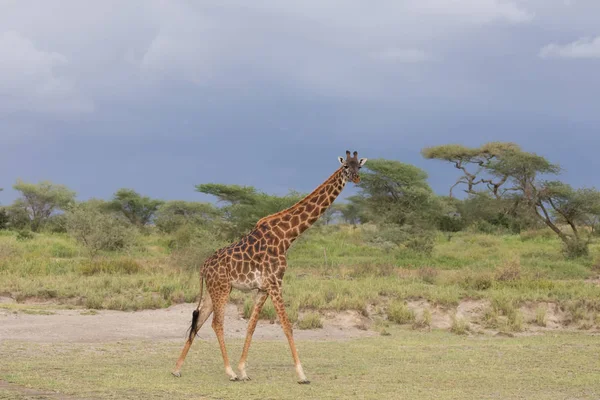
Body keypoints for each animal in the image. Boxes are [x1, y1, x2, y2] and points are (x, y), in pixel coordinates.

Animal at [171, 151, 368, 384]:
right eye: (346, 166)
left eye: (359, 166)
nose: (356, 178)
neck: (287, 236)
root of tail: (203, 266)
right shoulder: (275, 283)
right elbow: (287, 325)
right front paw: (302, 375)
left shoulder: (263, 288)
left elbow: (252, 326)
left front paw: (243, 370)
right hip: (221, 289)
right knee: (216, 324)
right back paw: (228, 372)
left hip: (214, 291)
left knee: (199, 320)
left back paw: (177, 369)